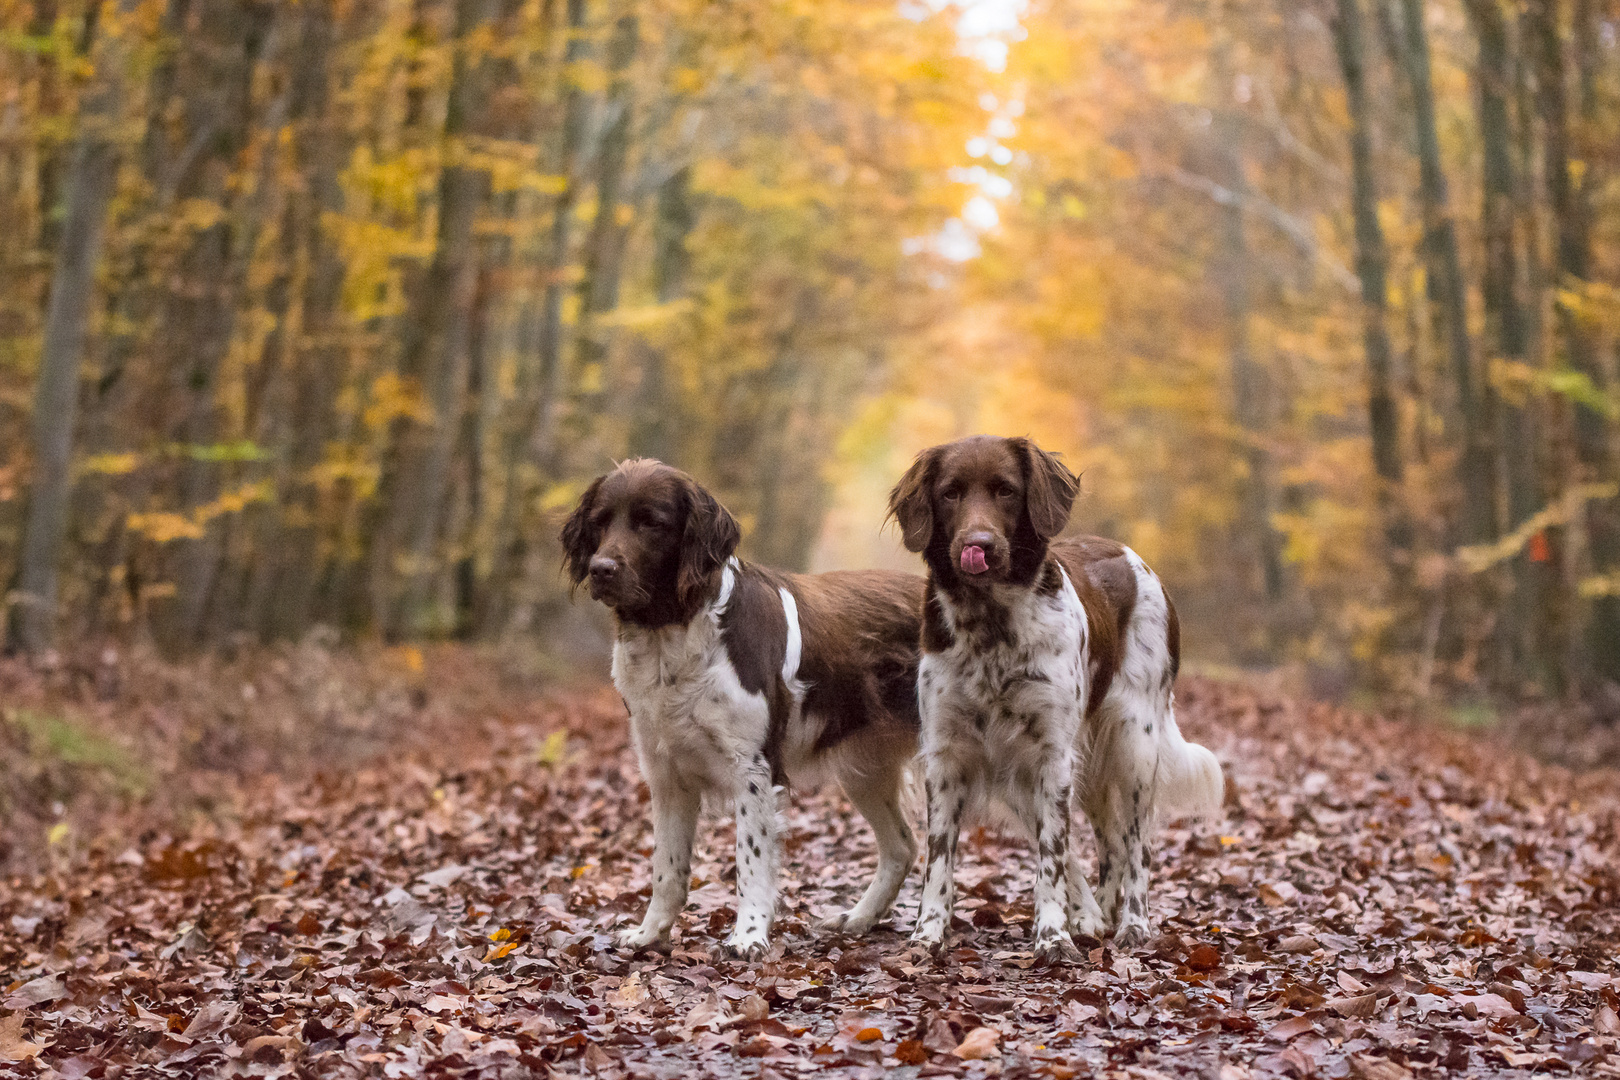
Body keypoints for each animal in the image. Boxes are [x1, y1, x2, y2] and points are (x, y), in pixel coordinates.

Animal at [563, 459, 926, 958]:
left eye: (651, 523)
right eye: (600, 522)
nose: (601, 569)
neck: (672, 633)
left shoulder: (753, 770)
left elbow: (750, 861)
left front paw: (749, 935)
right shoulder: (666, 774)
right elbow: (667, 869)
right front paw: (651, 933)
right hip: (865, 769)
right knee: (902, 847)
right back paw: (859, 918)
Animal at [894, 433, 1218, 958]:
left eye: (1006, 491)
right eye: (950, 493)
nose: (978, 545)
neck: (992, 629)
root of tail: (1135, 558)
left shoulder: (1052, 755)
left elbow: (1053, 856)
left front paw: (1052, 936)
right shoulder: (948, 755)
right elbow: (940, 858)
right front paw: (927, 935)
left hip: (1133, 746)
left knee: (1137, 846)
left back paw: (1133, 924)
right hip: (1047, 776)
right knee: (1109, 845)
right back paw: (1096, 915)